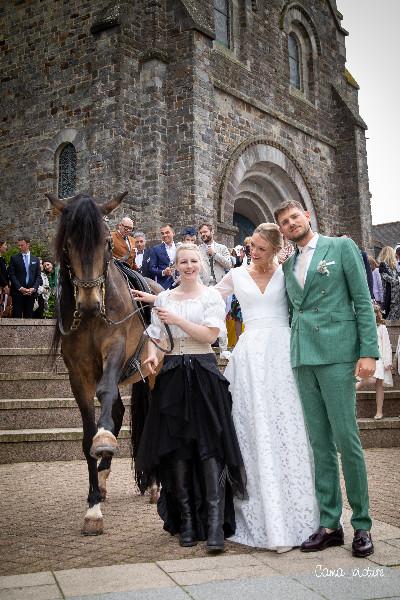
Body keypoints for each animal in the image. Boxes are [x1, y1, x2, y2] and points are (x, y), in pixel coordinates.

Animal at [46, 192, 164, 536]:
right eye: (68, 243)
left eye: (106, 243)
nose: (88, 303)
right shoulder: (78, 373)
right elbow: (88, 433)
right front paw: (93, 505)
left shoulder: (115, 350)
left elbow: (107, 391)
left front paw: (105, 441)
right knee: (119, 411)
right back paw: (104, 476)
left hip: (152, 372)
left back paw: (155, 485)